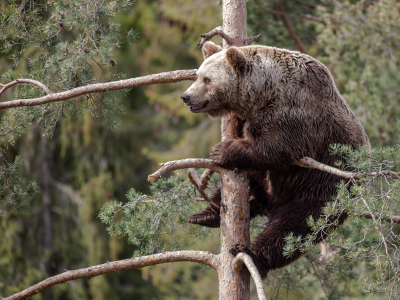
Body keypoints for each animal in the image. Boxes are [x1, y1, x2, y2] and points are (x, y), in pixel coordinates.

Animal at [180, 41, 370, 278]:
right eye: (197, 75)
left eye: (207, 79)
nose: (186, 96)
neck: (264, 93)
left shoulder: (293, 115)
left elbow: (277, 148)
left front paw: (221, 150)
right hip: (271, 184)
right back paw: (205, 215)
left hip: (325, 189)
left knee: (293, 228)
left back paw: (251, 254)